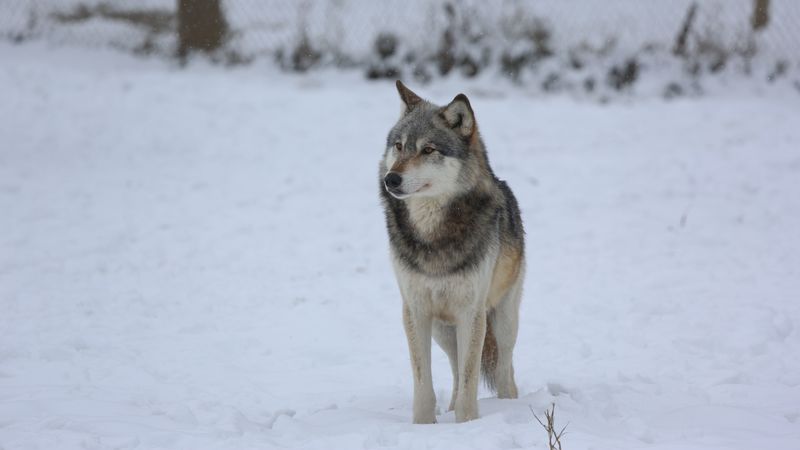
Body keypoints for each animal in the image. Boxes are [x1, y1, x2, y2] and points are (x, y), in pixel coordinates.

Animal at [379, 81, 525, 423]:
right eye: (399, 146)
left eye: (428, 150)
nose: (391, 179)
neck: (433, 234)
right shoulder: (415, 310)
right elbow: (424, 382)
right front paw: (423, 425)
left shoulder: (471, 313)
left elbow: (471, 382)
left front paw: (468, 424)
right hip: (443, 331)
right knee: (457, 372)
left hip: (503, 321)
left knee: (504, 371)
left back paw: (509, 405)